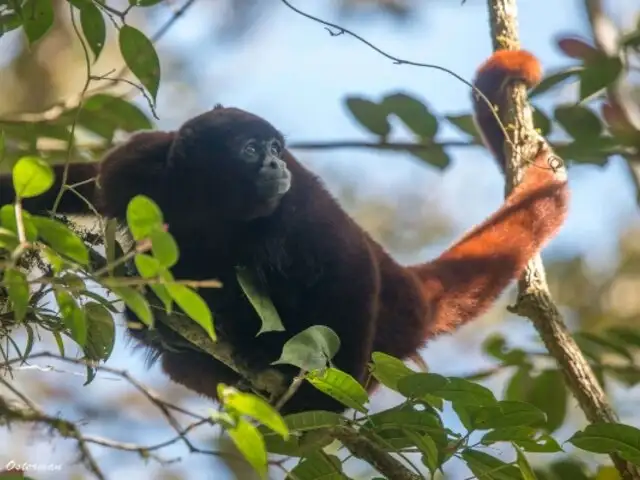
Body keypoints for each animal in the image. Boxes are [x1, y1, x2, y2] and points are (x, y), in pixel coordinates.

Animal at [1, 50, 568, 414]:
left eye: (276, 147)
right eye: (252, 149)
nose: (275, 164)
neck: (209, 205)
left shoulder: (298, 208)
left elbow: (347, 266)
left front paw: (319, 398)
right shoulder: (136, 167)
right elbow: (74, 185)